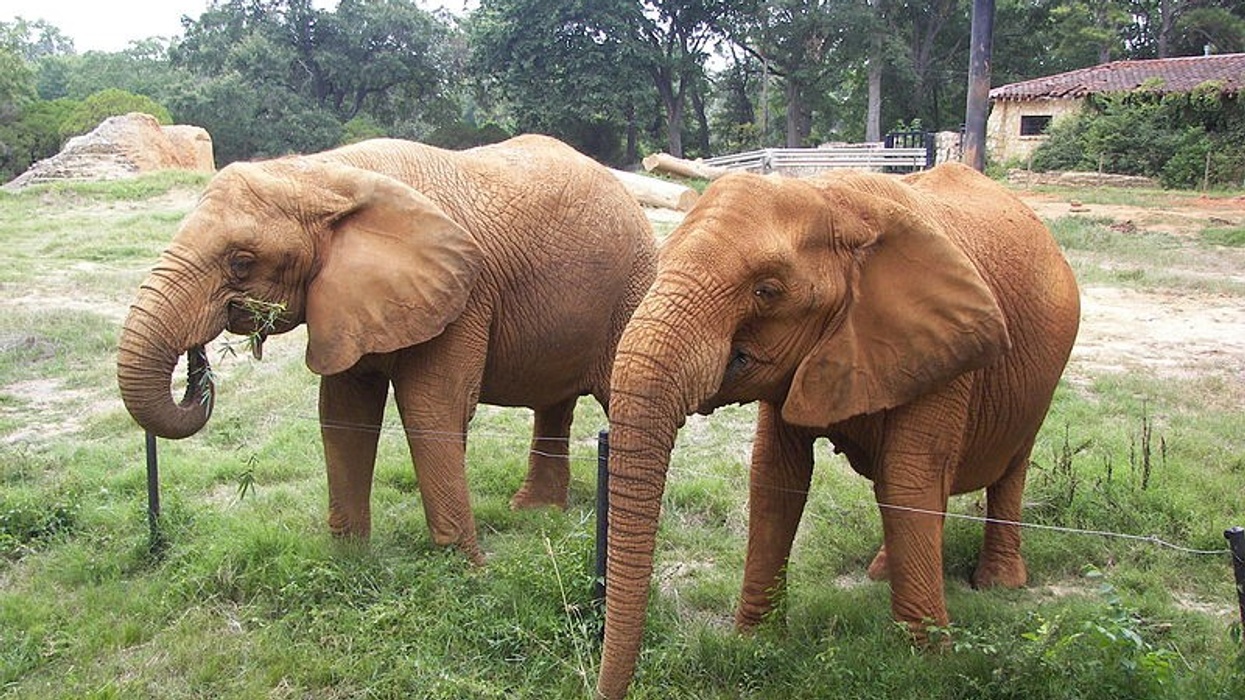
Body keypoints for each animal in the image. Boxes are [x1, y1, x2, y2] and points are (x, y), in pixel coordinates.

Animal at [117, 134, 657, 563]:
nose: (199, 353)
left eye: (242, 263)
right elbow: (343, 412)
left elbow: (430, 407)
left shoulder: (465, 295)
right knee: (555, 404)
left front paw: (466, 571)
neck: (323, 174)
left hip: (634, 286)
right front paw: (349, 560)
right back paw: (537, 514)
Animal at [595, 162, 1080, 698]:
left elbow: (908, 481)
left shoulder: (946, 350)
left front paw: (928, 664)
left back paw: (999, 583)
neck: (836, 202)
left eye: (766, 290)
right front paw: (757, 644)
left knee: (1008, 468)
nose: (603, 689)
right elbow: (776, 476)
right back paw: (881, 573)